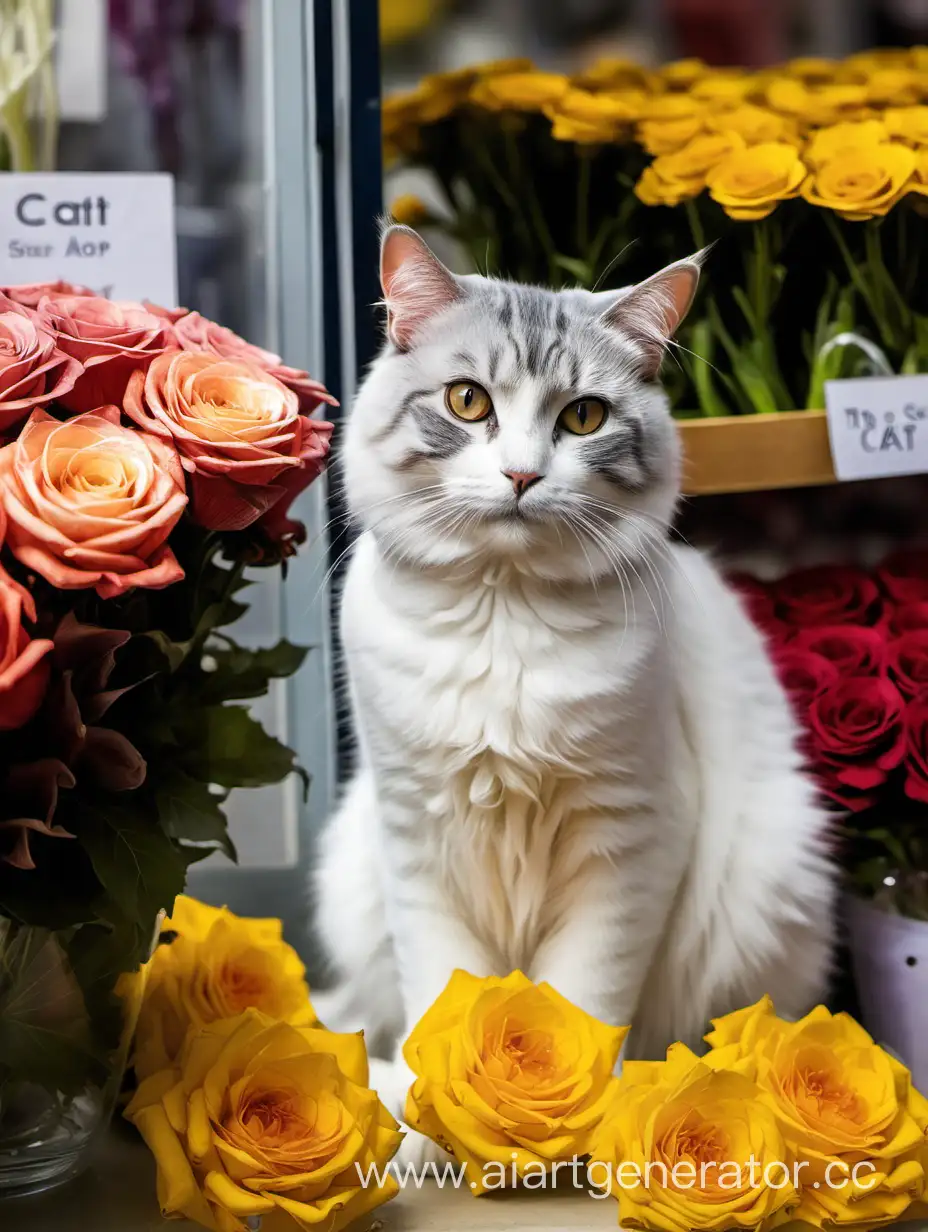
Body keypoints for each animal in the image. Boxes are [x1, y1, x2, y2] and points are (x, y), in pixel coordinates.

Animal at [315, 224, 838, 1143]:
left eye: (582, 417)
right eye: (468, 402)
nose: (523, 475)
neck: (502, 611)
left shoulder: (627, 838)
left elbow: (579, 1003)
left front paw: (565, 1128)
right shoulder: (416, 835)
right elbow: (440, 1000)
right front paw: (442, 1128)